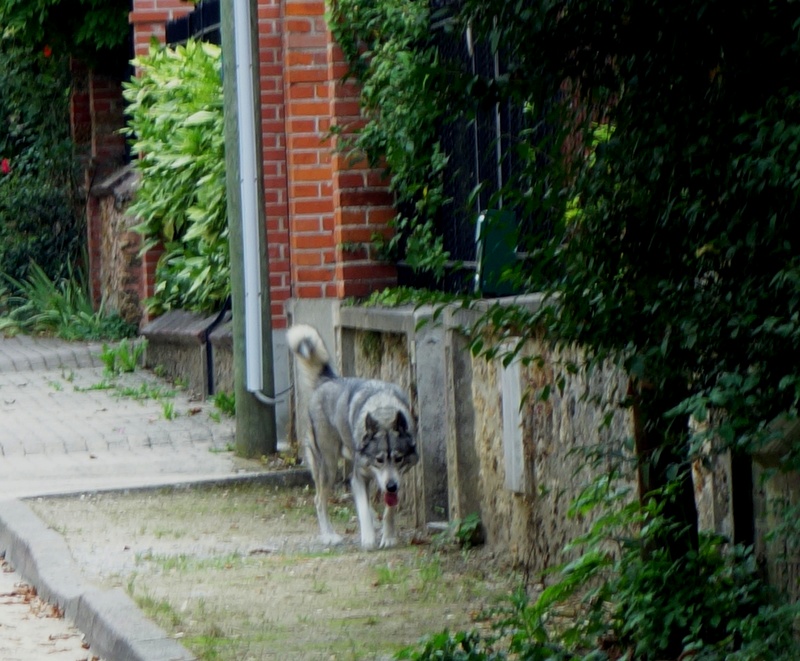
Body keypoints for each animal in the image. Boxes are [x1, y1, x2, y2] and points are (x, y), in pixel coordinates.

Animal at [290, 322, 422, 548]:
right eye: (379, 459)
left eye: (398, 458)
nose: (391, 486)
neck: (383, 410)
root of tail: (328, 379)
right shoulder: (360, 476)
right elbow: (362, 508)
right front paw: (368, 538)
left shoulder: (396, 478)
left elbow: (389, 510)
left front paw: (388, 537)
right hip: (329, 466)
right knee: (319, 500)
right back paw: (329, 535)